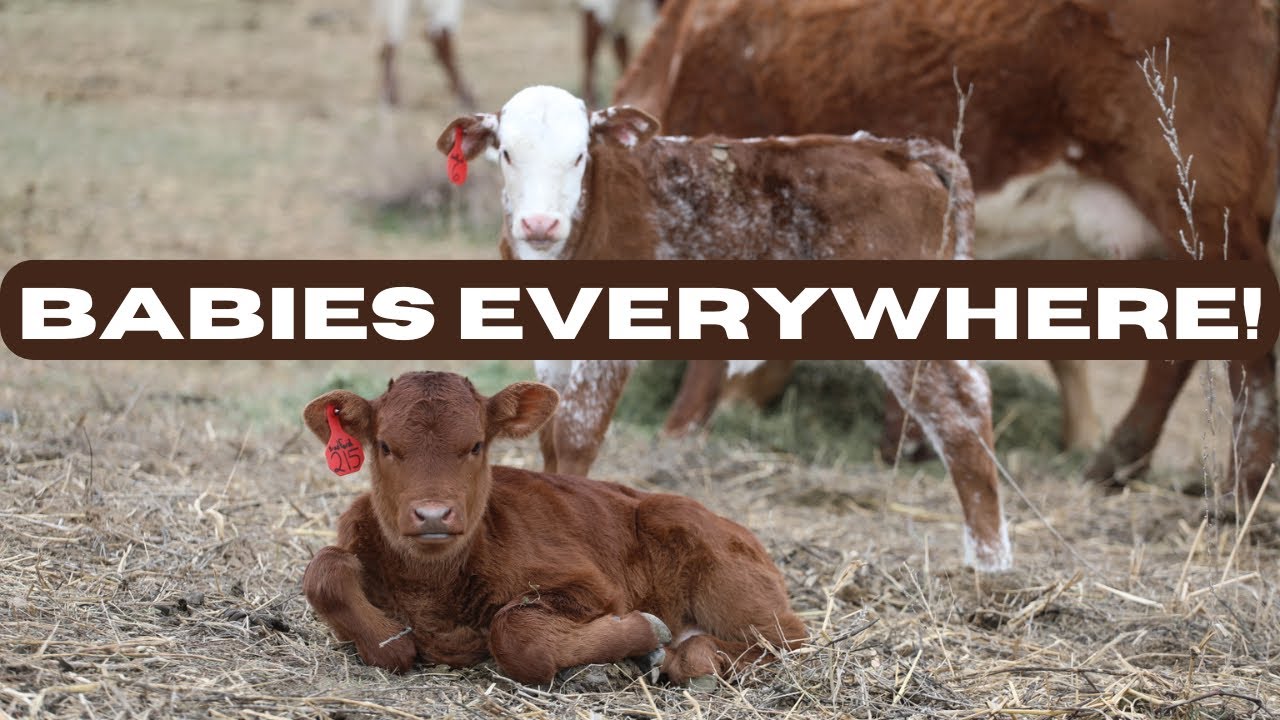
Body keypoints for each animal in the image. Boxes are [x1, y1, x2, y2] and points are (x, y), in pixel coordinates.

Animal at [300, 371, 807, 686]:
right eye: (385, 446)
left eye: (477, 445)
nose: (433, 515)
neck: (432, 591)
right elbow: (324, 570)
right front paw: (391, 643)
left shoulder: (592, 586)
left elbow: (515, 633)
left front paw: (644, 632)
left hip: (713, 561)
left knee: (785, 639)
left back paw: (687, 654)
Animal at [436, 85, 1014, 570]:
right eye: (507, 154)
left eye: (579, 156)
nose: (539, 224)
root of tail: (899, 150)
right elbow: (550, 437)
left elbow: (576, 435)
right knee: (974, 386)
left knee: (957, 411)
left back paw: (990, 562)